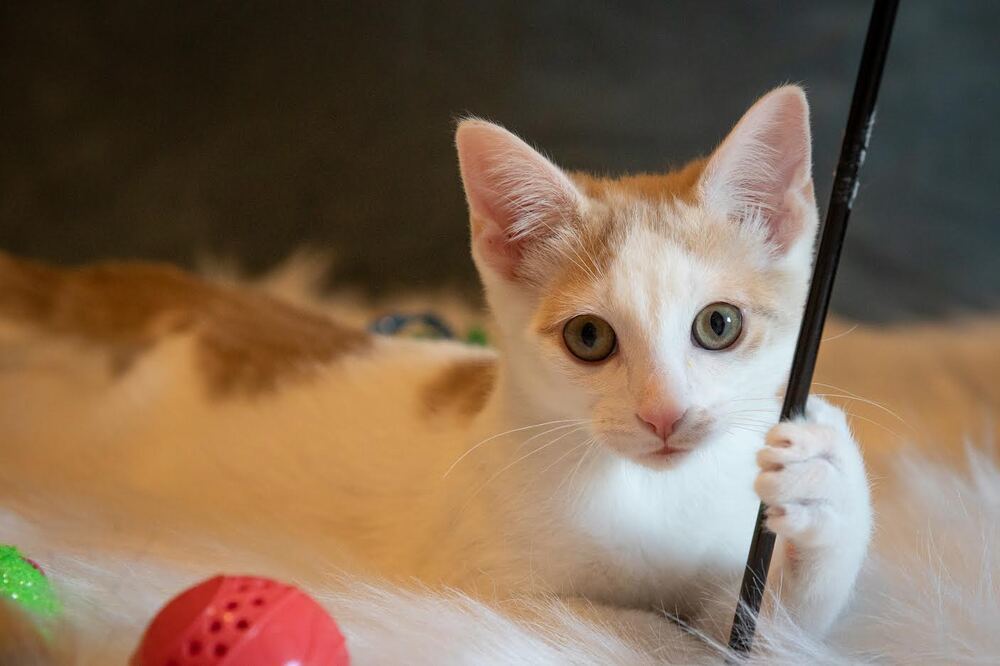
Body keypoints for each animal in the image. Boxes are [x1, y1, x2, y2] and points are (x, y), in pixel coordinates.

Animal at [0, 85, 871, 660]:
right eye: (590, 337)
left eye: (718, 325)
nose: (665, 414)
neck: (646, 492)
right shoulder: (487, 584)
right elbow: (619, 627)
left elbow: (777, 626)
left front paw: (822, 483)